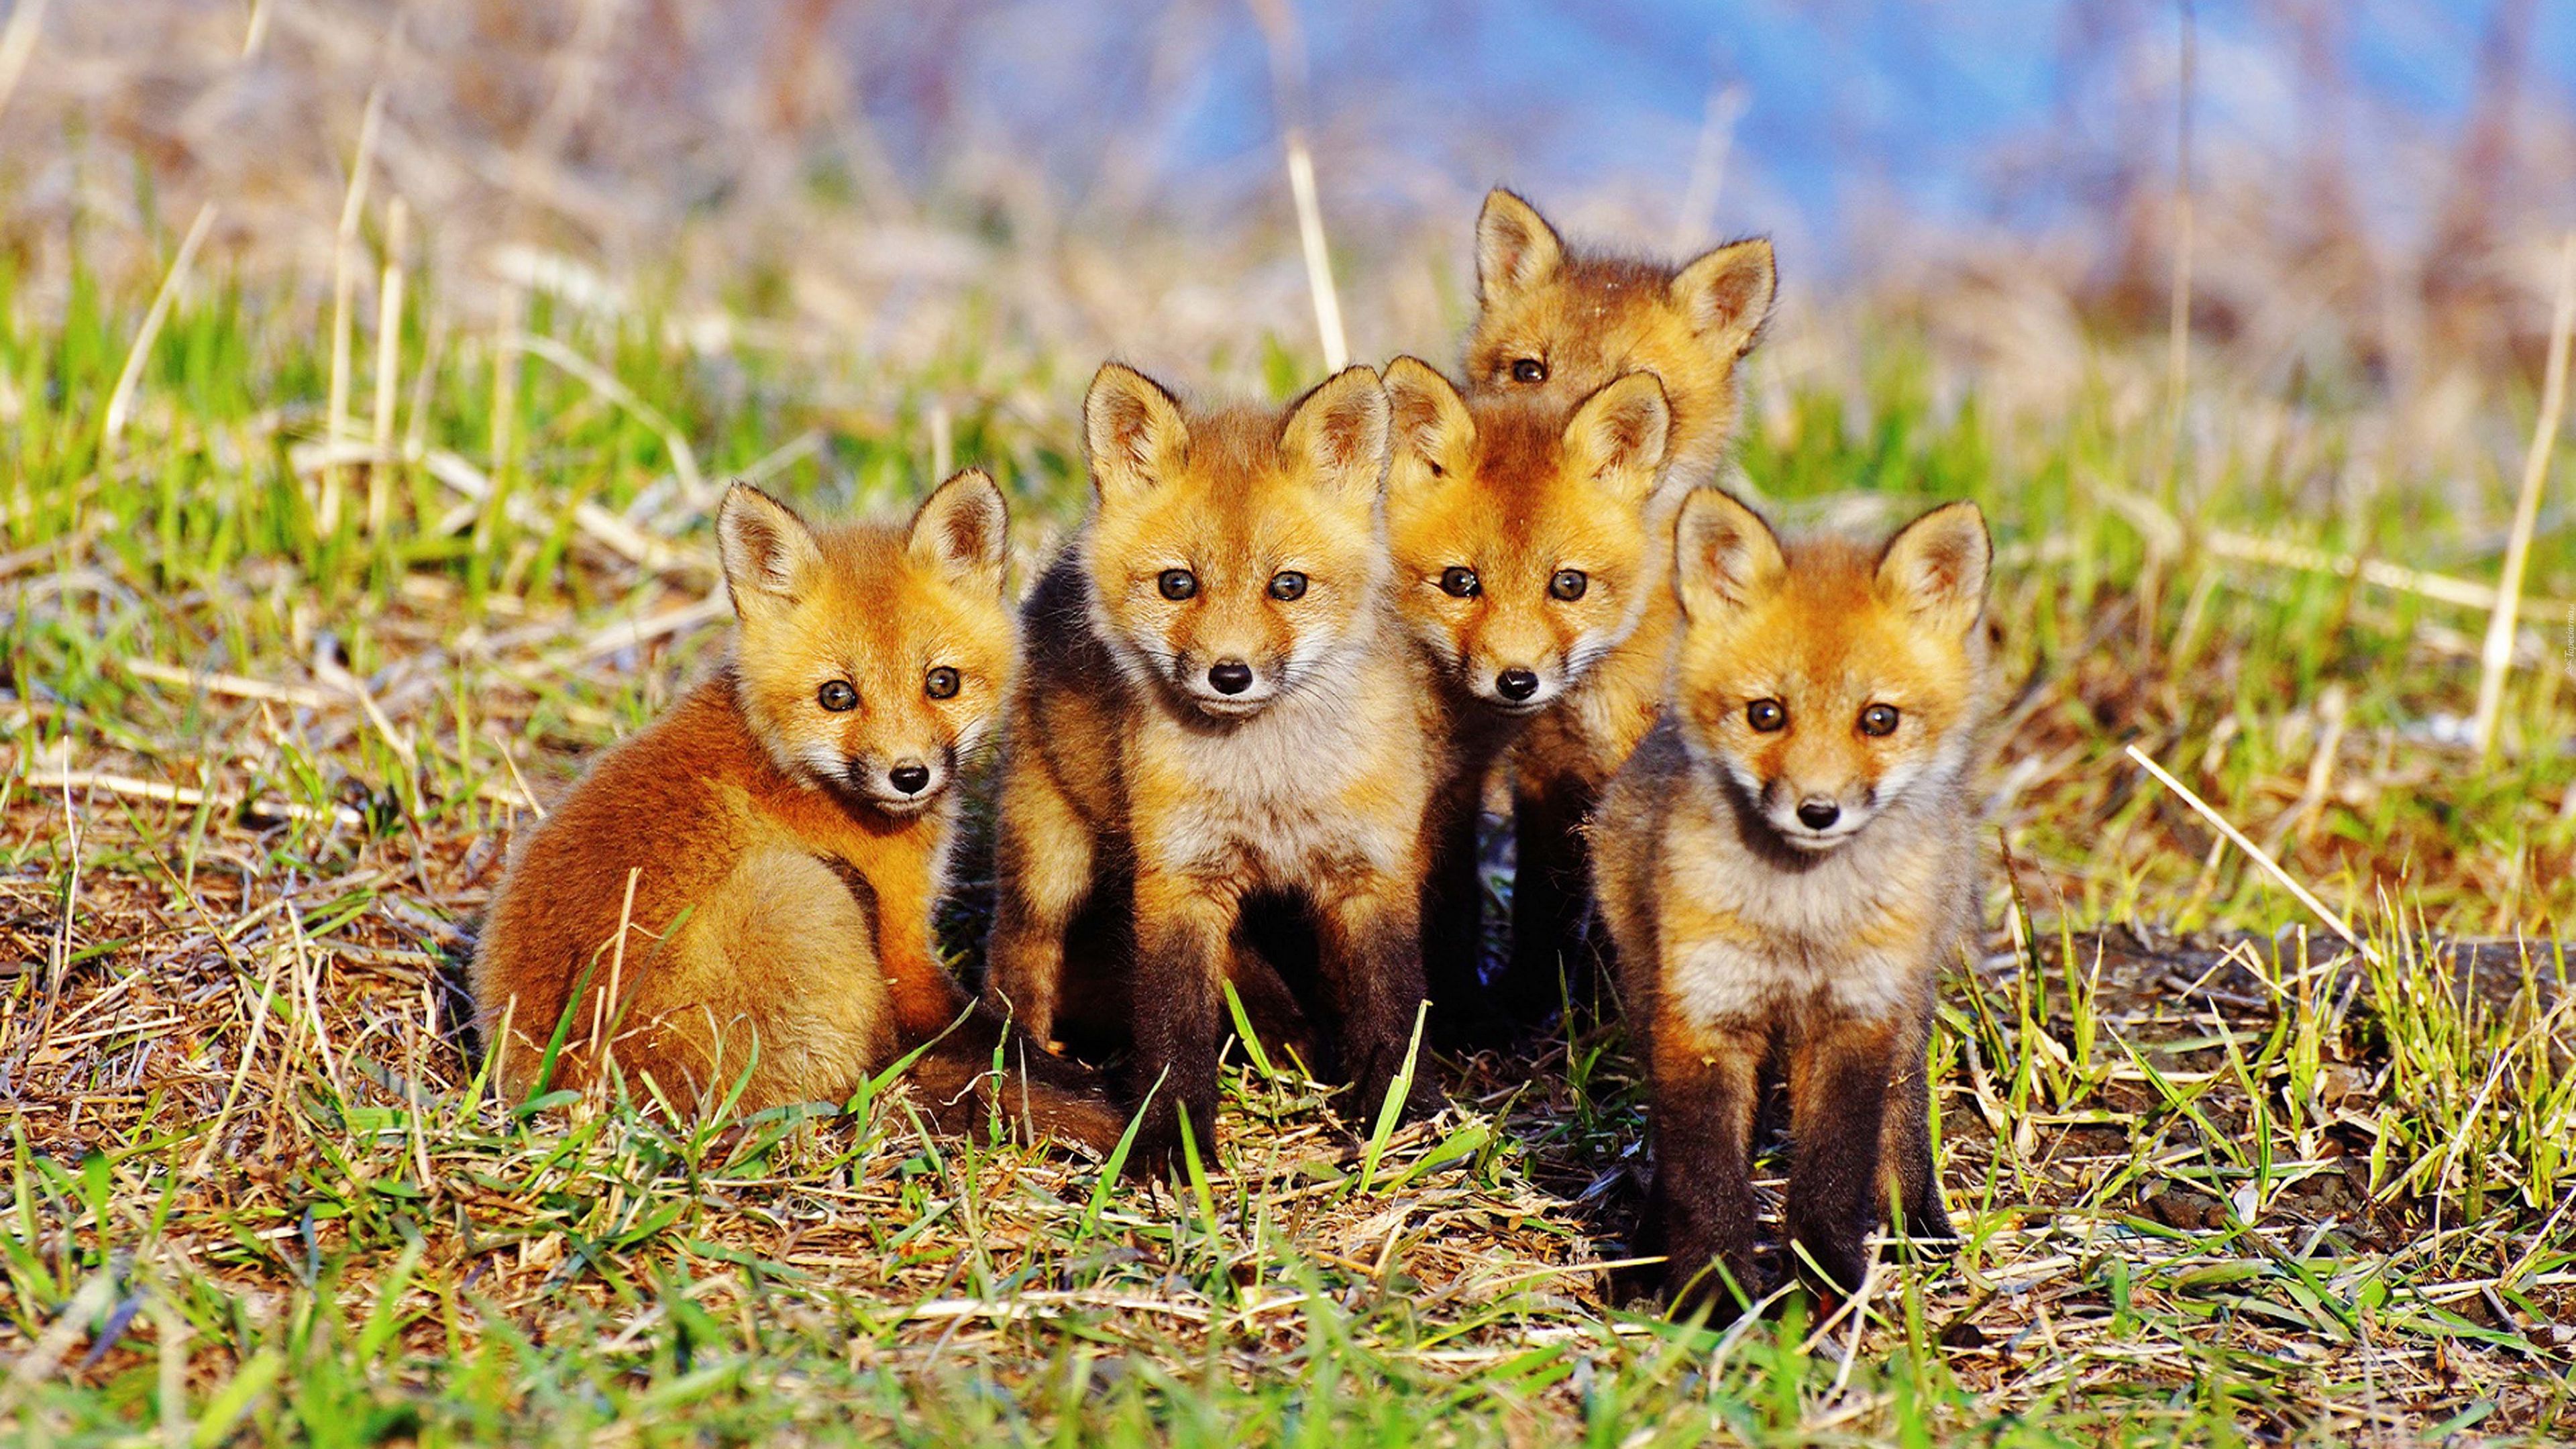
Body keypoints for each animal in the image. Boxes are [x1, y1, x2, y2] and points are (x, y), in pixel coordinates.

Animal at [470, 473, 1125, 1149]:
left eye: (942, 683)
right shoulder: (903, 946)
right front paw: (1106, 1091)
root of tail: (576, 1096)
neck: (795, 770)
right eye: (837, 696)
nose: (910, 776)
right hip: (806, 891)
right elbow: (998, 1036)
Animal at [980, 361, 1444, 1175]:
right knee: (1017, 953)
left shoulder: (1373, 869)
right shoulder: (1177, 879)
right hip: (1051, 853)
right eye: (1177, 584)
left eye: (1288, 586)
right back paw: (1027, 1064)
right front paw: (1173, 1143)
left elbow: (1392, 999)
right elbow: (1174, 1027)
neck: (1269, 785)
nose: (1230, 675)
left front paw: (1401, 1114)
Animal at [1590, 488, 1992, 1314]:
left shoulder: (1856, 1021)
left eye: (1879, 720)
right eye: (1766, 714)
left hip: (1907, 1002)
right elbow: (1707, 1176)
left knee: (1904, 1109)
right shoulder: (1701, 1015)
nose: (1817, 811)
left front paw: (1827, 1286)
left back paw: (1917, 1219)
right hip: (1648, 984)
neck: (1799, 923)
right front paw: (1712, 1295)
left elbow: (1833, 1176)